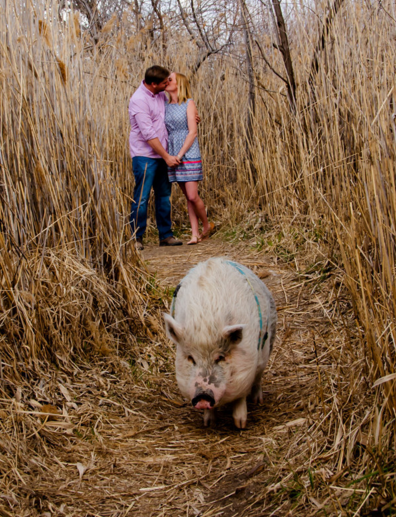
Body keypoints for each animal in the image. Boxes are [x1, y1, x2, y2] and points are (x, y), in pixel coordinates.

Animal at [162, 256, 276, 430]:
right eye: (191, 358)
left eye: (220, 358)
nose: (202, 397)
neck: (206, 324)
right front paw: (208, 424)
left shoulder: (247, 367)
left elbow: (241, 396)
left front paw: (240, 425)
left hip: (266, 349)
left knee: (258, 377)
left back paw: (258, 401)